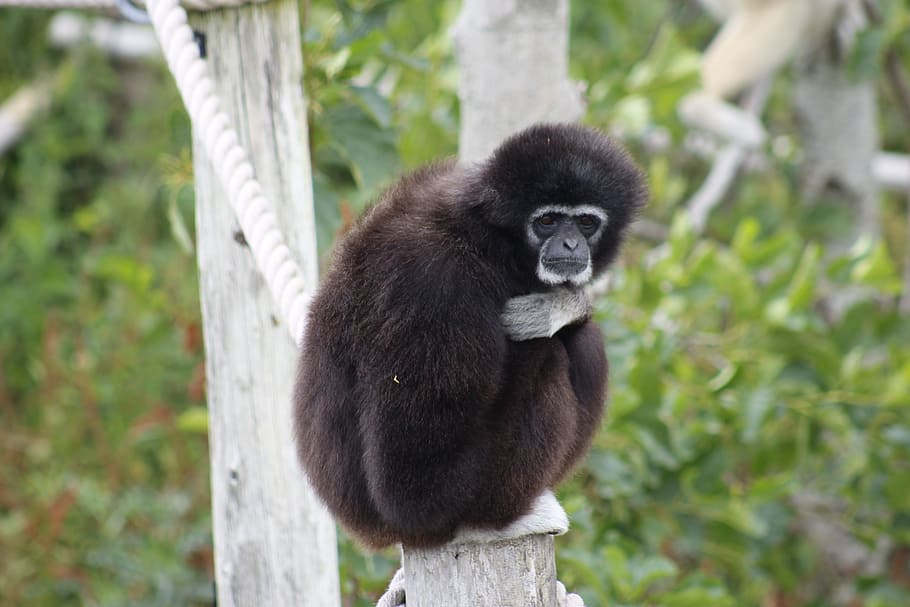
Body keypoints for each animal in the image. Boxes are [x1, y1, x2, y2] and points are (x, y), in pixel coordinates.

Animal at [293, 123, 647, 549]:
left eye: (586, 223)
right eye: (546, 221)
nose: (570, 243)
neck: (484, 239)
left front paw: (559, 307)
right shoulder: (436, 290)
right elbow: (410, 488)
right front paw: (559, 308)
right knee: (558, 351)